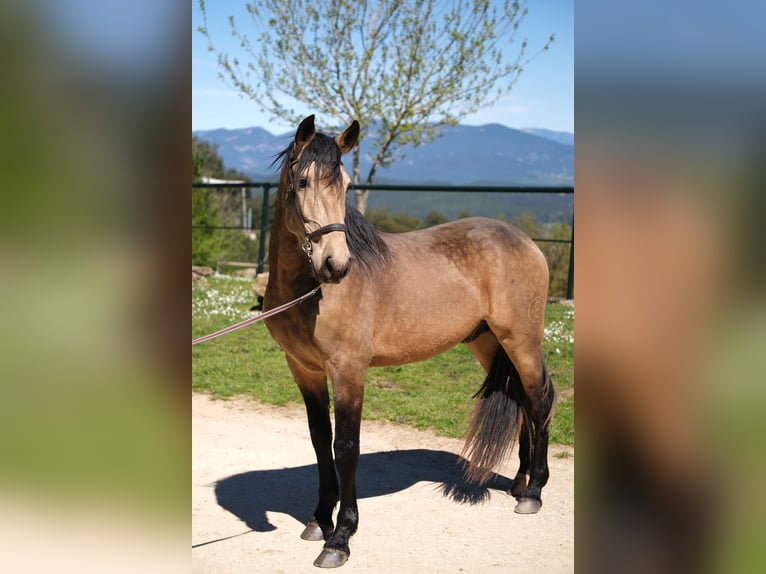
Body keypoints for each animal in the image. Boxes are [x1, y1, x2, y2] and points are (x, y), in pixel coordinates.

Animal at [263, 115, 557, 568]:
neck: (311, 291)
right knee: (523, 400)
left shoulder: (349, 371)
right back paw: (520, 483)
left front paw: (340, 537)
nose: (335, 264)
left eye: (345, 185)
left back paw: (535, 492)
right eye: (303, 182)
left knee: (540, 399)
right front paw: (319, 520)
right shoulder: (304, 369)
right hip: (488, 344)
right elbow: (319, 441)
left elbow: (345, 446)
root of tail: (524, 241)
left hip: (521, 340)